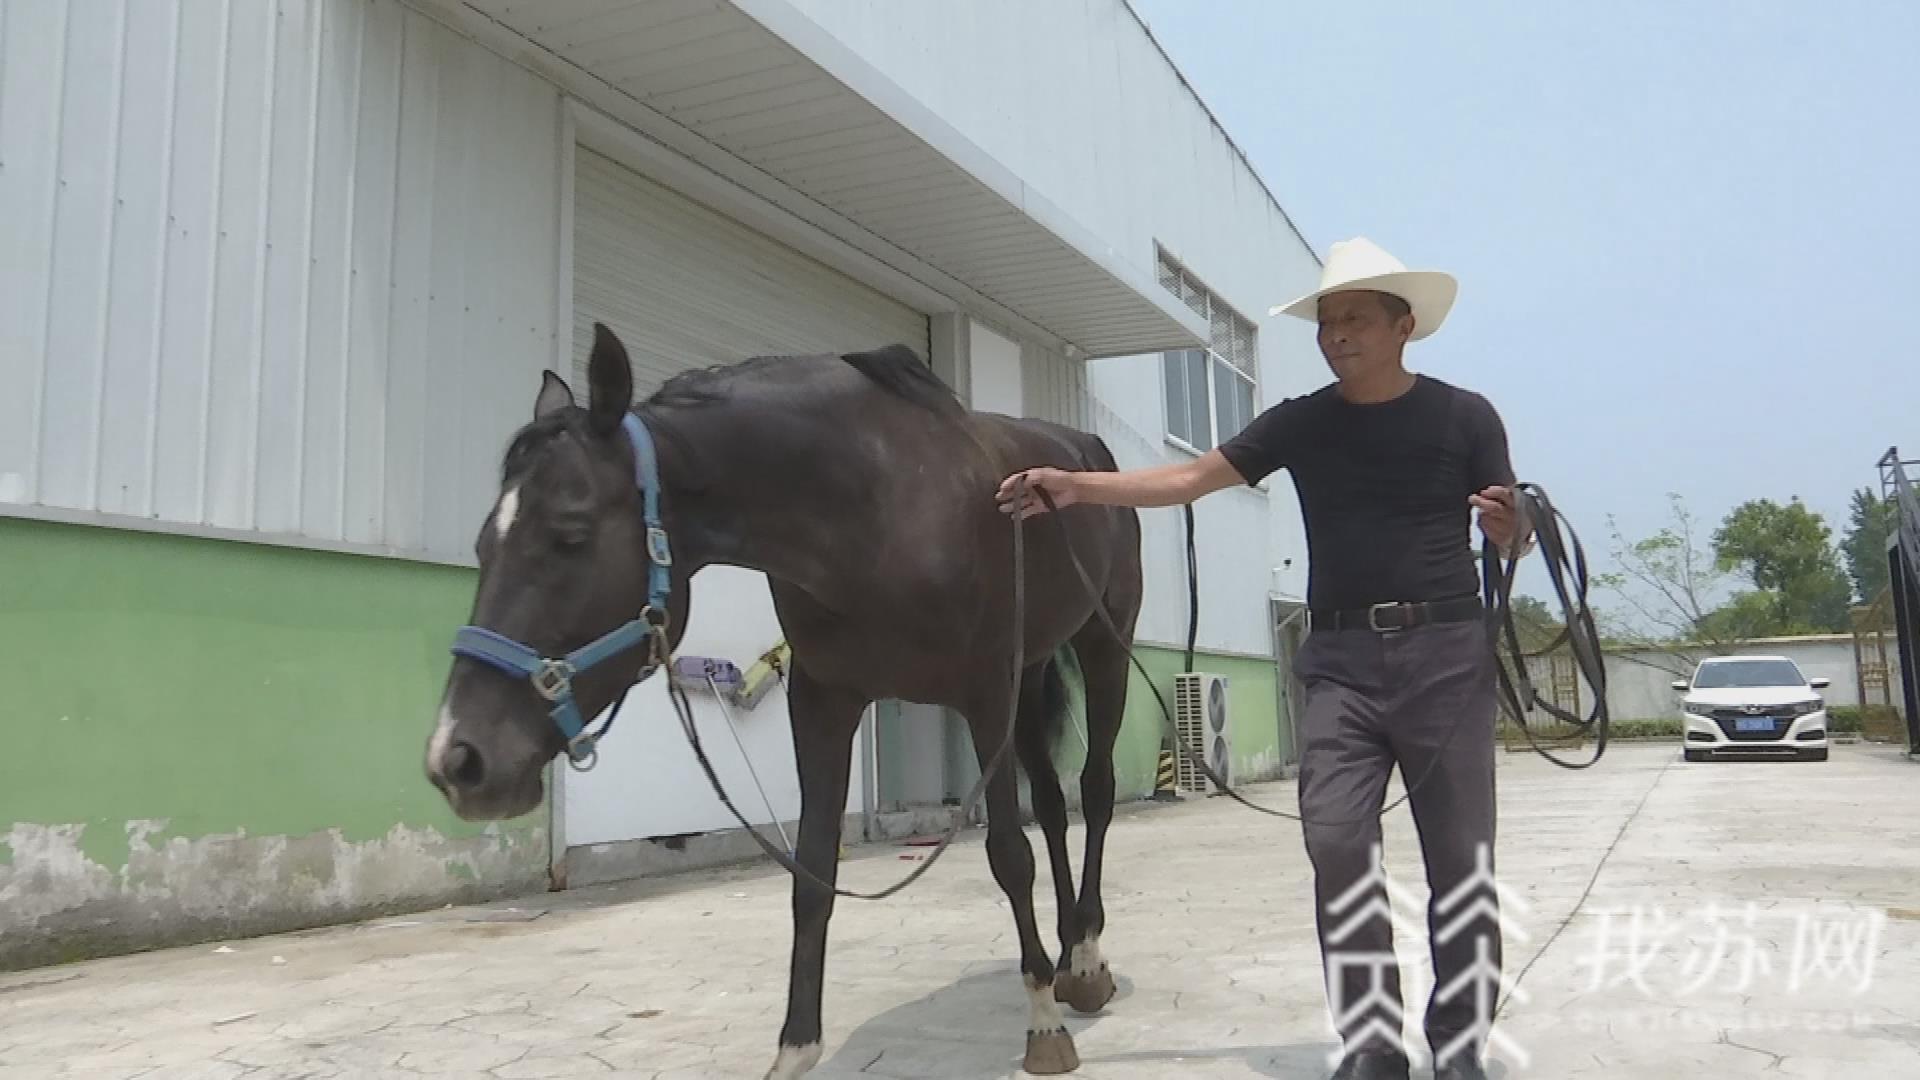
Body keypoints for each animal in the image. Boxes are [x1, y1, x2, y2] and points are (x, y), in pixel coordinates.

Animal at [430, 322, 1144, 1068]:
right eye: (483, 544)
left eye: (570, 533)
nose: (459, 758)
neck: (880, 508)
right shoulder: (825, 702)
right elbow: (812, 873)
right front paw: (796, 1049)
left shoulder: (984, 694)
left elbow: (1008, 854)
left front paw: (1043, 1025)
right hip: (1031, 676)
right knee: (1055, 806)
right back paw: (1067, 956)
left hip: (1102, 647)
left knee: (1093, 792)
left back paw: (1086, 960)